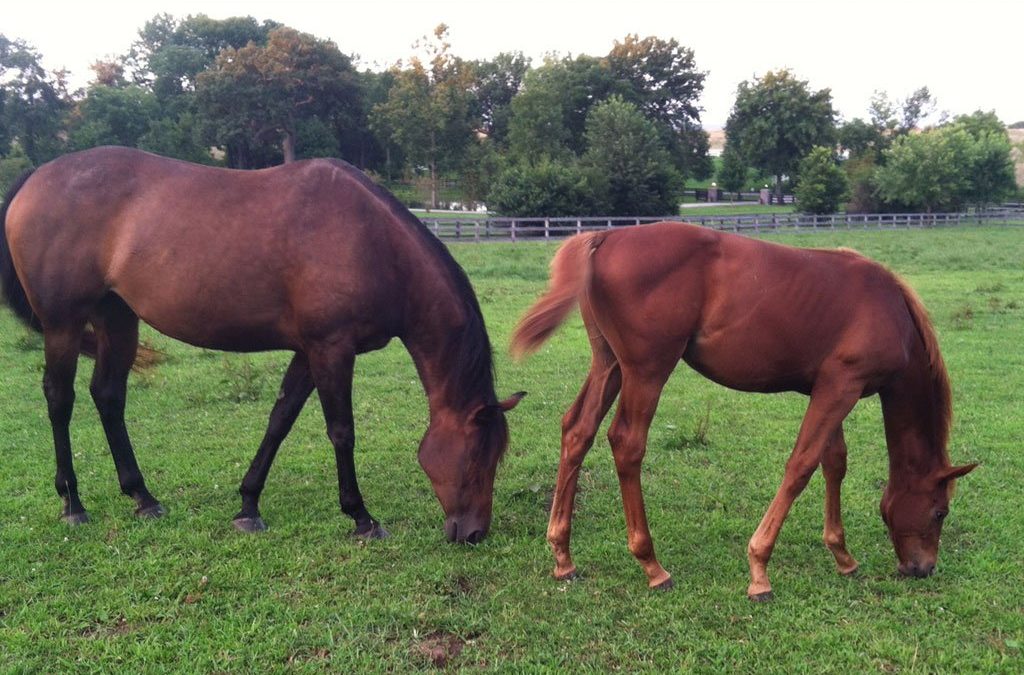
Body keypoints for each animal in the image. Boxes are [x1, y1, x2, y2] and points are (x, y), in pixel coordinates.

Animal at [0, 147, 524, 544]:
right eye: (478, 459)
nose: (474, 533)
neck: (373, 243)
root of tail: (35, 177)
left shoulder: (310, 351)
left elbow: (279, 420)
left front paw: (248, 505)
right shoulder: (332, 349)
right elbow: (341, 431)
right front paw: (361, 517)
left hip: (117, 318)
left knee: (108, 396)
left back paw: (143, 497)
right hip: (63, 325)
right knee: (59, 399)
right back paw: (72, 502)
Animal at [512, 223, 974, 602]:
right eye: (940, 511)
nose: (922, 568)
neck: (890, 309)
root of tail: (606, 237)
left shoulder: (831, 388)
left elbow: (834, 463)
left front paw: (842, 555)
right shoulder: (842, 386)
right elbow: (801, 466)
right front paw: (759, 569)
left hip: (609, 365)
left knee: (578, 430)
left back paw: (563, 556)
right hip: (647, 370)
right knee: (626, 443)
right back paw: (652, 566)